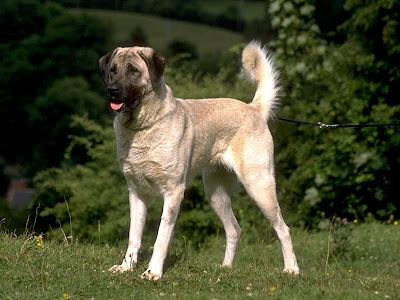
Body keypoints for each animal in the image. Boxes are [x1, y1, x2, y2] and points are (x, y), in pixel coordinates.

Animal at [98, 41, 298, 280]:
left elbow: (161, 237)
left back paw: (291, 269)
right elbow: (134, 236)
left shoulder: (174, 191)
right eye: (113, 70)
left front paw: (153, 272)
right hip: (215, 193)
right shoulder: (136, 192)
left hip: (259, 186)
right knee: (234, 230)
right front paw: (126, 267)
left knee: (283, 229)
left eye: (133, 71)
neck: (143, 127)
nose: (112, 90)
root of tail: (253, 108)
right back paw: (225, 268)